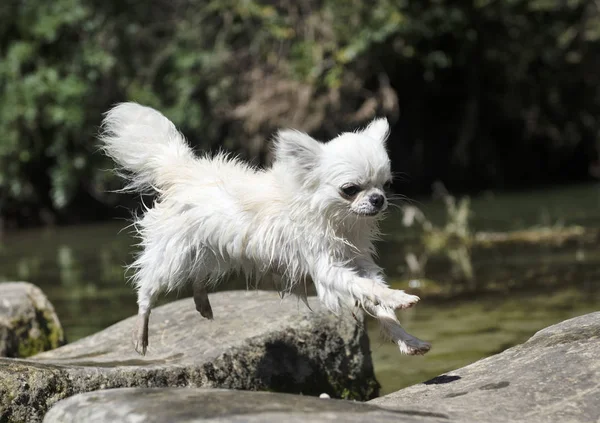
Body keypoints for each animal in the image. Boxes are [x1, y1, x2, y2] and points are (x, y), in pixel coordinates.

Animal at [102, 103, 432, 358]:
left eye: (386, 185)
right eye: (350, 189)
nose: (378, 199)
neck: (337, 219)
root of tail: (184, 171)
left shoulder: (358, 261)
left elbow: (378, 301)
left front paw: (407, 339)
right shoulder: (328, 268)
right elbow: (366, 289)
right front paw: (399, 299)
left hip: (209, 250)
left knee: (198, 275)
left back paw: (202, 302)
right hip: (172, 256)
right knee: (147, 289)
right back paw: (141, 331)